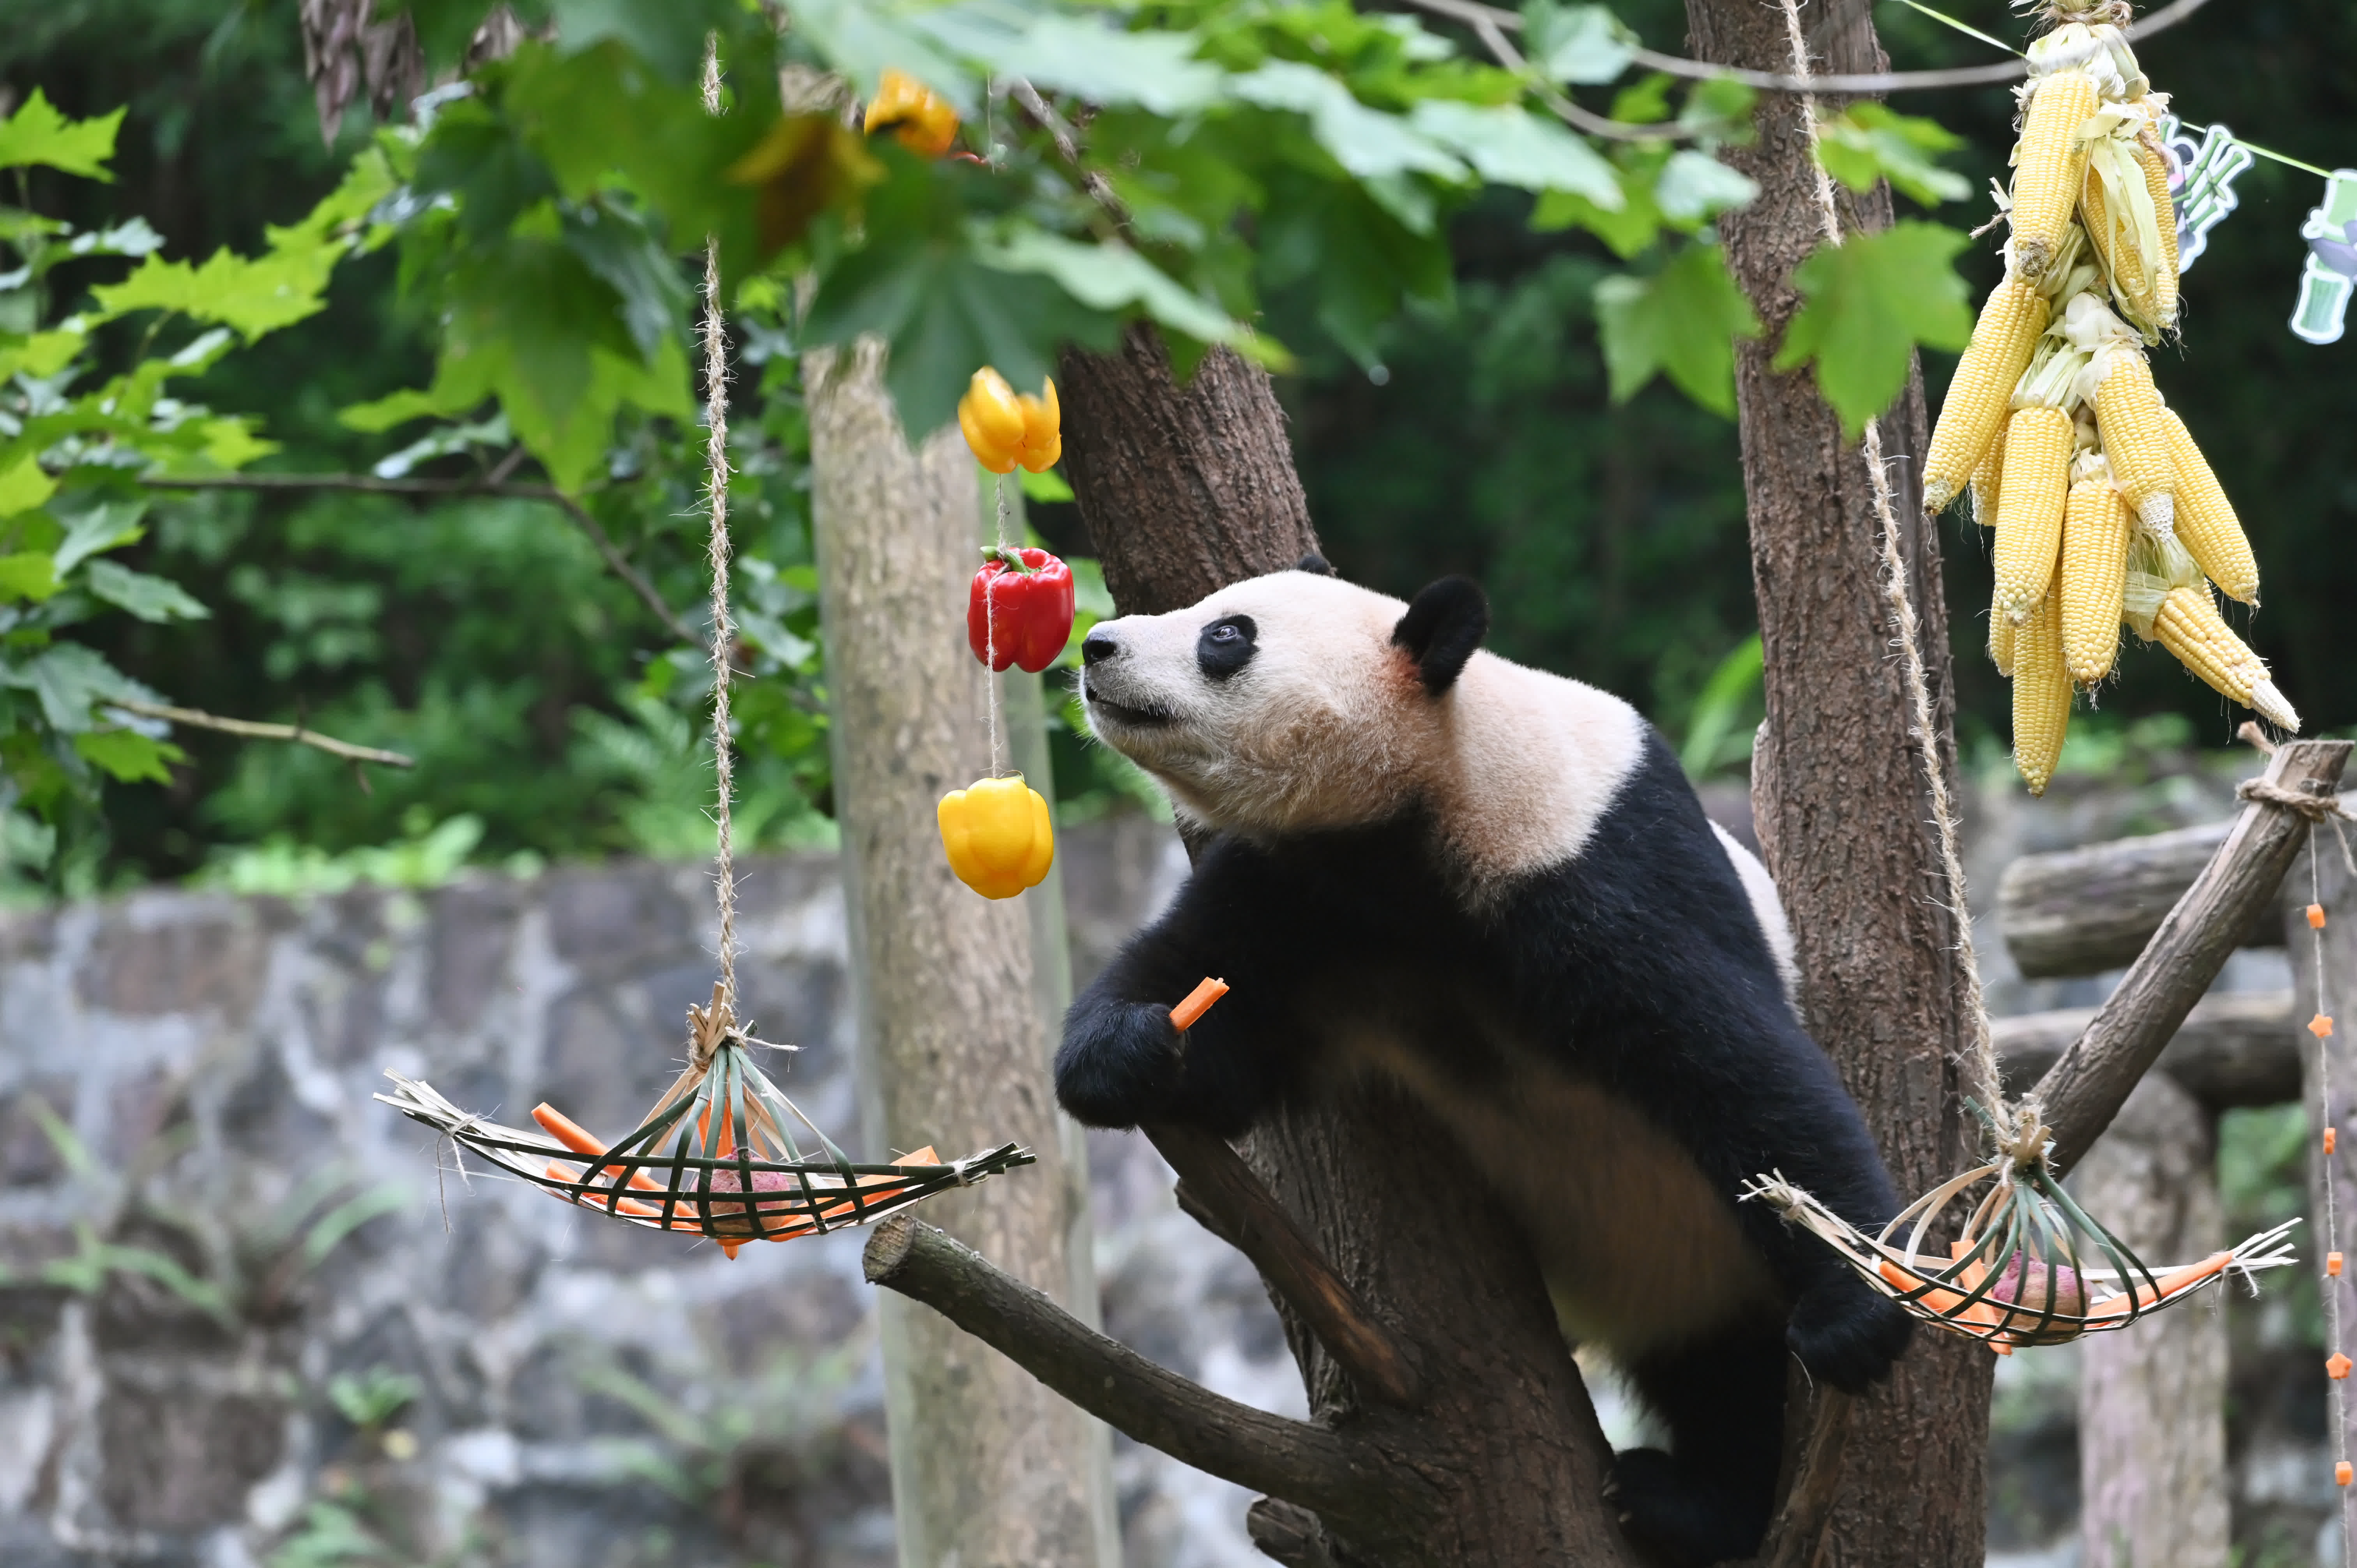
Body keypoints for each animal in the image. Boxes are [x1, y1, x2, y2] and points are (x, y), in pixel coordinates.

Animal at [1060, 563, 1923, 1565]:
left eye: (1227, 635)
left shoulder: (1588, 866)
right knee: (1706, 1366)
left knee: (1738, 1376)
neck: (1425, 795)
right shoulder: (1297, 888)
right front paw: (1124, 1050)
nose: (1099, 646)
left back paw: (1682, 1499)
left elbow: (1746, 1070)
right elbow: (1211, 1003)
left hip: (1714, 1252)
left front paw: (1857, 1311)